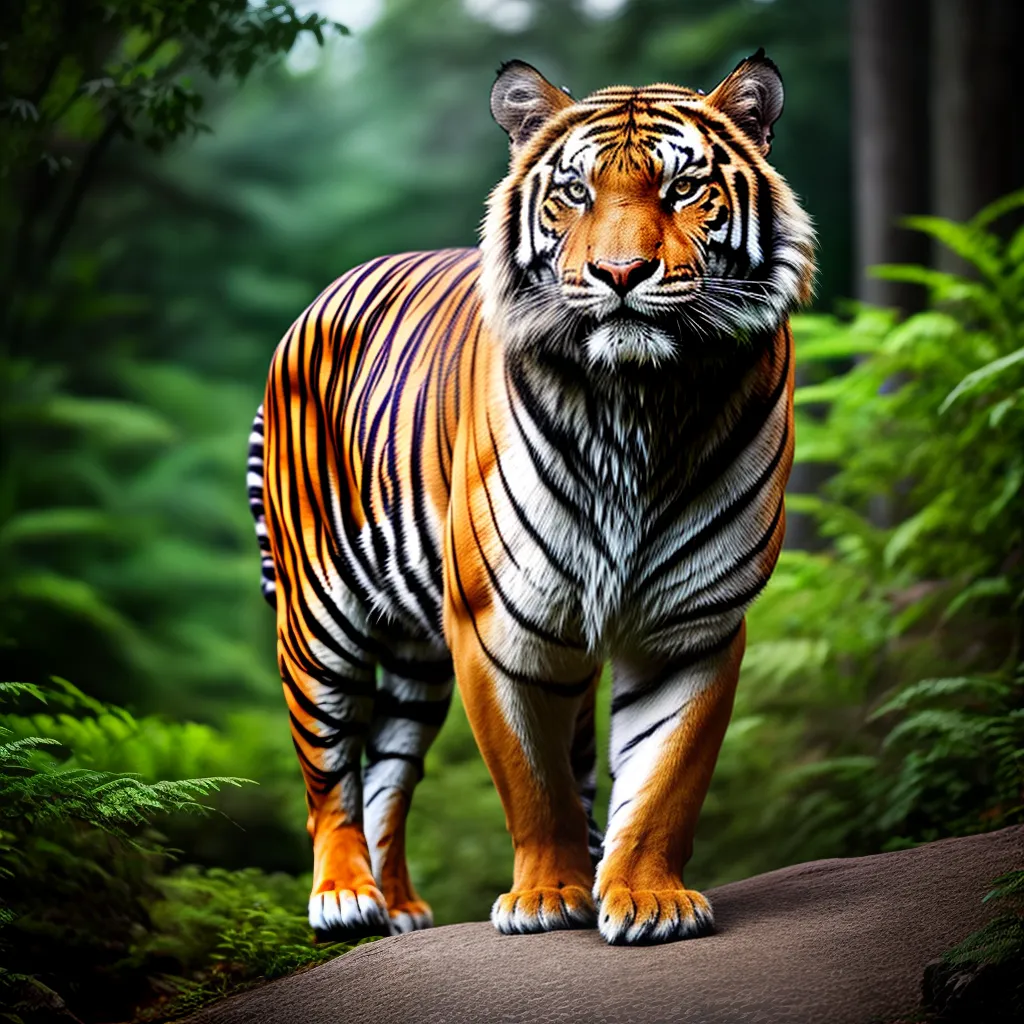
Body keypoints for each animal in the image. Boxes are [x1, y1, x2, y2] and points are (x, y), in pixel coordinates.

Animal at [248, 50, 814, 946]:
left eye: (684, 187)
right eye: (575, 191)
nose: (620, 274)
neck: (638, 403)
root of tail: (325, 292)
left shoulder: (693, 622)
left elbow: (665, 775)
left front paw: (646, 897)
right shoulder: (498, 619)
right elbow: (531, 777)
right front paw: (547, 895)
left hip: (418, 662)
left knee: (390, 776)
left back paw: (400, 907)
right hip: (319, 616)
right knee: (329, 766)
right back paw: (345, 897)